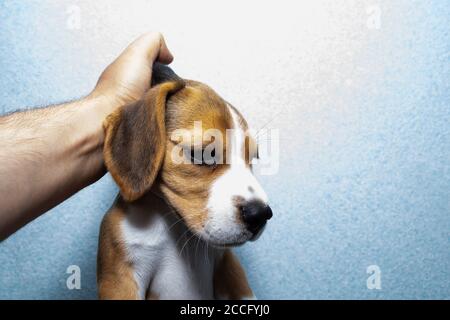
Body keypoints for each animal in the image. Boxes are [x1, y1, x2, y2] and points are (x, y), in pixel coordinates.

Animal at [97, 63, 272, 298]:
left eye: (252, 158)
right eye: (203, 154)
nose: (260, 214)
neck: (175, 226)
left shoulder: (227, 264)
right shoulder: (120, 278)